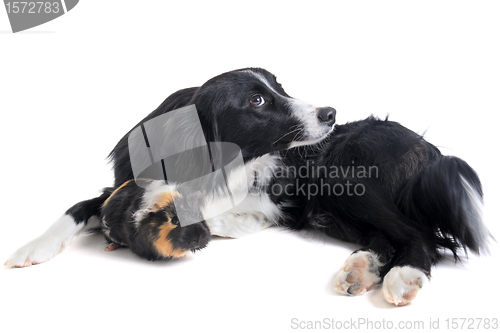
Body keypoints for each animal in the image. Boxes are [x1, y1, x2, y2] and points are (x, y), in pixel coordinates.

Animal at [4, 67, 488, 306]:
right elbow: (82, 204)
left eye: (281, 87)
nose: (331, 113)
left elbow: (216, 216)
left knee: (419, 235)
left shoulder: (272, 203)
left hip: (343, 176)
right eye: (257, 100)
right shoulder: (123, 183)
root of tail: (432, 151)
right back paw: (361, 269)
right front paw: (33, 246)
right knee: (386, 236)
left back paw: (404, 277)